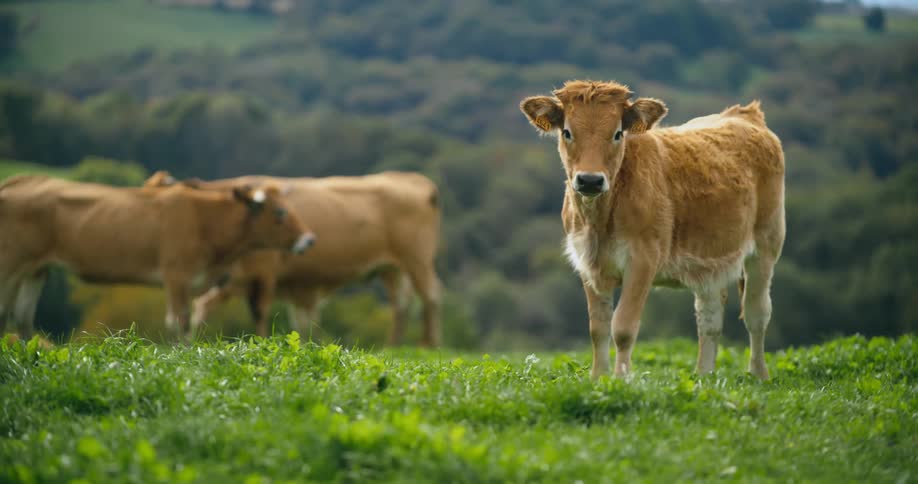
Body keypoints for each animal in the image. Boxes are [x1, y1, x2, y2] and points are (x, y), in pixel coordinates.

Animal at [0, 174, 315, 340]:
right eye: (280, 212)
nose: (309, 239)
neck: (206, 219)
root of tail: (20, 181)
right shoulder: (176, 274)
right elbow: (179, 321)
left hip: (35, 270)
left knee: (23, 317)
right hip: (11, 264)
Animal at [145, 171, 443, 346]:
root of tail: (413, 180)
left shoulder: (264, 273)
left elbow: (260, 312)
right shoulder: (234, 281)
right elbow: (202, 307)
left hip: (417, 258)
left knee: (429, 297)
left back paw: (427, 346)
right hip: (391, 268)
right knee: (402, 304)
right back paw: (392, 346)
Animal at [520, 80, 785, 380]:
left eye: (617, 133)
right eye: (567, 132)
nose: (590, 180)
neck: (599, 221)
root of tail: (744, 114)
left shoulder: (642, 260)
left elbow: (623, 328)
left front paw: (621, 379)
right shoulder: (588, 263)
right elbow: (598, 329)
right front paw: (598, 378)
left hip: (766, 246)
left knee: (756, 314)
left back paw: (758, 375)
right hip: (710, 262)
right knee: (710, 318)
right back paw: (703, 376)